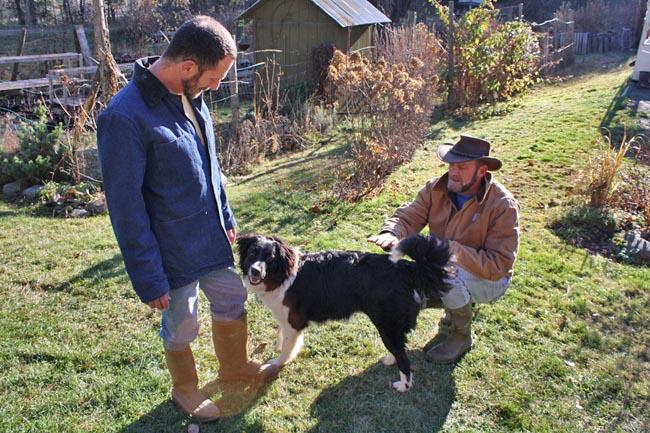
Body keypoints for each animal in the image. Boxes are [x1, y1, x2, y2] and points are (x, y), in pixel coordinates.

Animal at [235, 233, 448, 392]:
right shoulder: (284, 318)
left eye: (270, 258)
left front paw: (277, 363)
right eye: (252, 253)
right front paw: (278, 347)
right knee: (399, 349)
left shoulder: (293, 322)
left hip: (386, 326)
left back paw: (403, 385)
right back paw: (390, 359)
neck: (282, 275)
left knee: (404, 359)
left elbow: (288, 348)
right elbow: (282, 336)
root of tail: (407, 268)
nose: (255, 271)